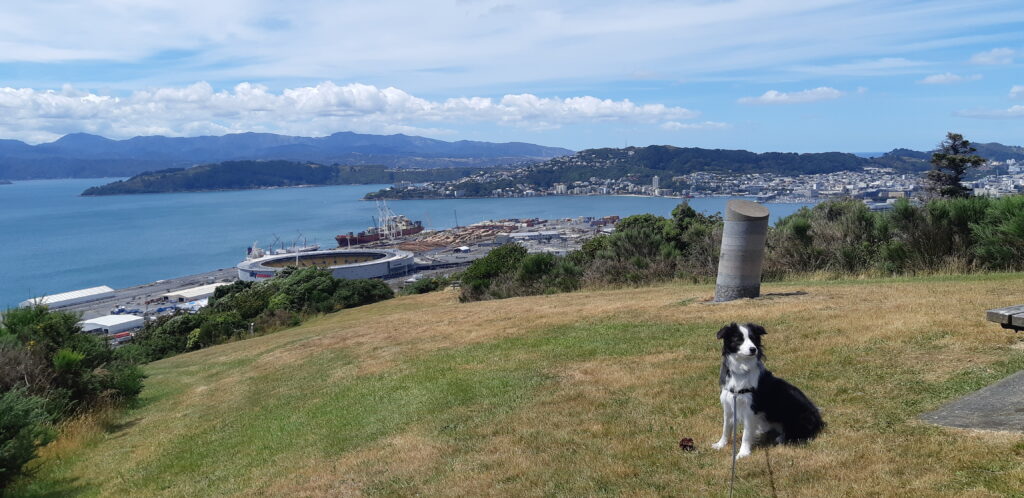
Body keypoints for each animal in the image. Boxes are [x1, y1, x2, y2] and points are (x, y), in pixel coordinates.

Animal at [712, 323, 823, 459]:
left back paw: (781, 438)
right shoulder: (728, 403)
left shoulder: (750, 408)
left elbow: (746, 434)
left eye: (753, 338)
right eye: (738, 339)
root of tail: (819, 420)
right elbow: (726, 428)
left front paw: (743, 453)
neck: (741, 370)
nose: (753, 349)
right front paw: (720, 444)